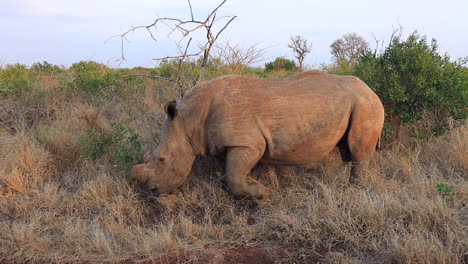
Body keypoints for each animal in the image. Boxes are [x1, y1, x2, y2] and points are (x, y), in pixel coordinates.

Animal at [132, 71, 384, 199]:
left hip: (364, 103)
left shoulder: (245, 143)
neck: (188, 121)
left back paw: (354, 192)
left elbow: (233, 177)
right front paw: (266, 188)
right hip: (360, 103)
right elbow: (230, 175)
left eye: (162, 159)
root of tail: (371, 89)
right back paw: (371, 187)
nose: (153, 192)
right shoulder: (223, 144)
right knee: (356, 151)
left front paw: (261, 194)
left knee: (357, 151)